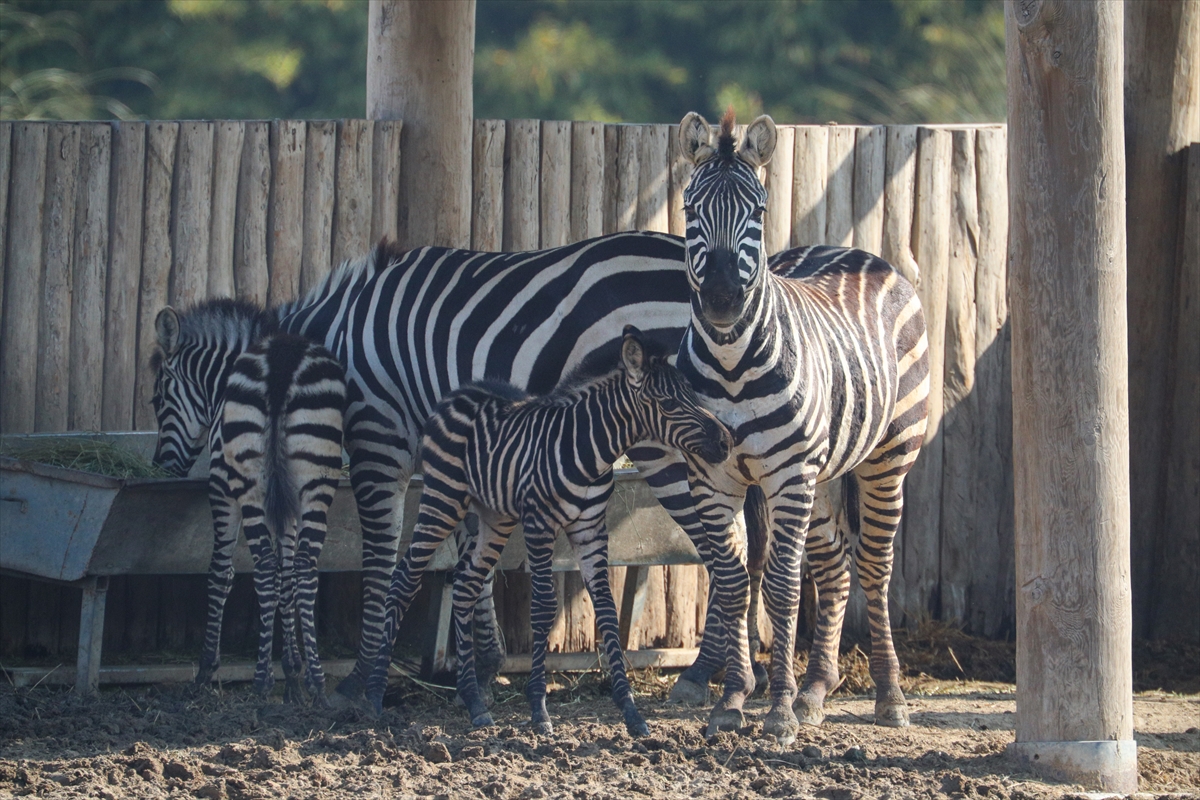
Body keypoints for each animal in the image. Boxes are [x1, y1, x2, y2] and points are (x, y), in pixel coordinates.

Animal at [151, 304, 346, 703]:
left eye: (158, 400)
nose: (158, 466)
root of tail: (280, 360)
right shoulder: (286, 501)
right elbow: (287, 575)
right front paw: (292, 672)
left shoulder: (220, 486)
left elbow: (221, 573)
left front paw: (207, 669)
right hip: (315, 479)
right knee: (304, 567)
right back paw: (317, 683)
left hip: (249, 482)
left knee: (264, 565)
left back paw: (260, 682)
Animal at [363, 326, 731, 735]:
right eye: (667, 403)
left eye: (693, 394)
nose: (726, 442)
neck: (589, 449)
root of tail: (459, 392)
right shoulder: (539, 524)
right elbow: (542, 608)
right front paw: (539, 709)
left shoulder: (591, 529)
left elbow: (605, 609)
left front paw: (631, 711)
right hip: (443, 499)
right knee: (403, 579)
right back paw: (374, 696)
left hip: (495, 517)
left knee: (466, 585)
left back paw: (474, 702)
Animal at [636, 110, 930, 745]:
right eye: (690, 208)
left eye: (759, 209)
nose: (723, 300)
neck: (730, 367)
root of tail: (854, 251)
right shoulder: (715, 476)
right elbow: (730, 579)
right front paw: (732, 701)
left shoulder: (787, 474)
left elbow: (780, 585)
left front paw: (777, 713)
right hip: (825, 473)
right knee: (835, 563)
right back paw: (817, 689)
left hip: (885, 459)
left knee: (873, 566)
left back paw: (889, 698)